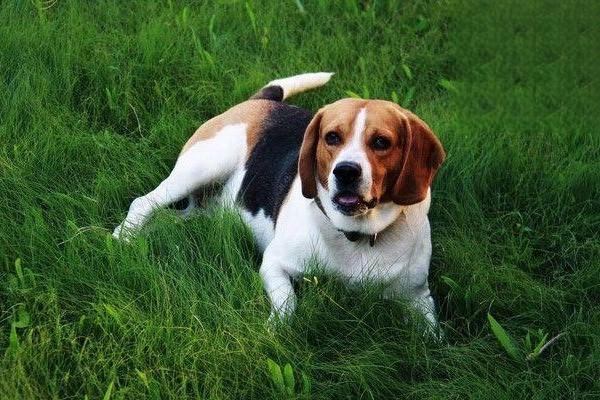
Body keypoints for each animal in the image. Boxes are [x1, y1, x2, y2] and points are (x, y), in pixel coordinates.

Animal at [113, 73, 446, 330]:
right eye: (332, 137)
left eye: (381, 142)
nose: (346, 171)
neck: (357, 235)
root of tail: (260, 102)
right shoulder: (274, 264)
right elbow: (288, 303)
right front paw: (276, 330)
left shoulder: (418, 297)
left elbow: (433, 336)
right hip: (203, 166)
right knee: (144, 202)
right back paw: (124, 238)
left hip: (200, 210)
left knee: (171, 220)